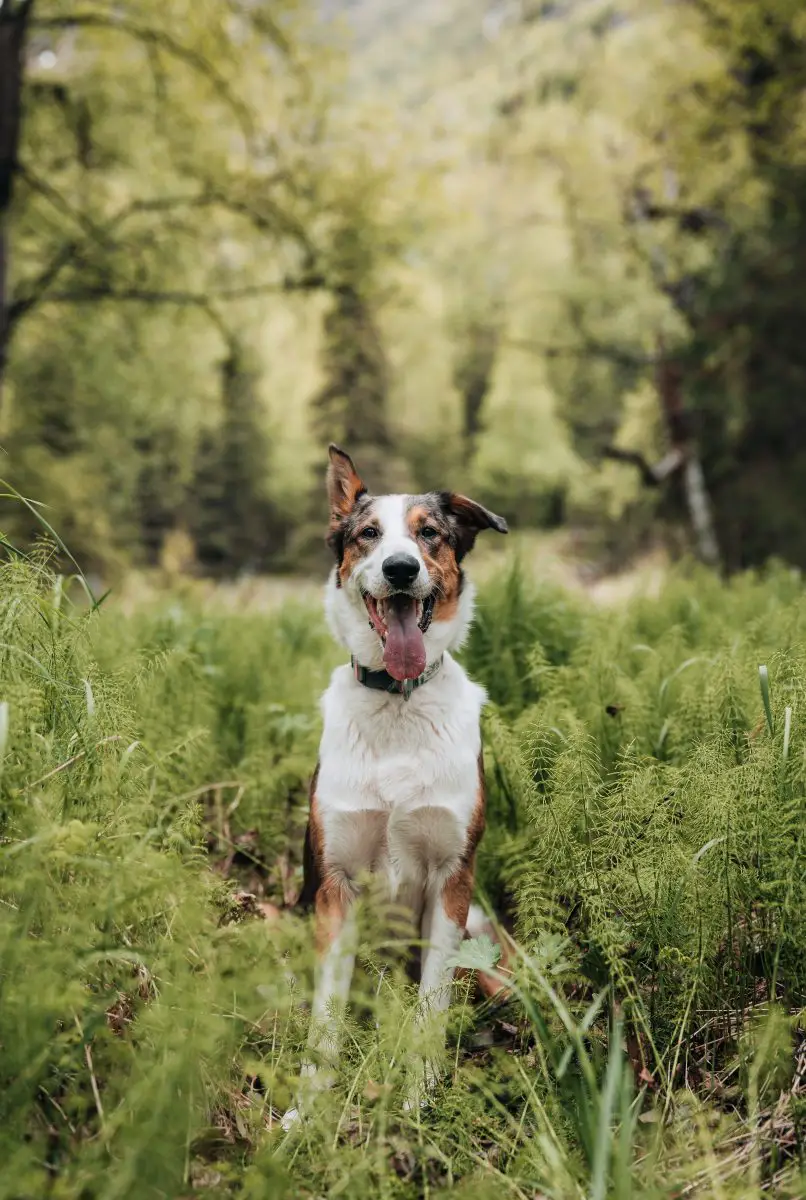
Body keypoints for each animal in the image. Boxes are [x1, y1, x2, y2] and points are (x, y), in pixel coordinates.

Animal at [283, 444, 506, 1123]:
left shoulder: (451, 881)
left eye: (429, 534)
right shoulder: (336, 885)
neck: (397, 703)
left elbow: (431, 1004)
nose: (401, 569)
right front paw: (308, 1105)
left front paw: (420, 1094)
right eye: (368, 535)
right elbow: (326, 1014)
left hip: (481, 934)